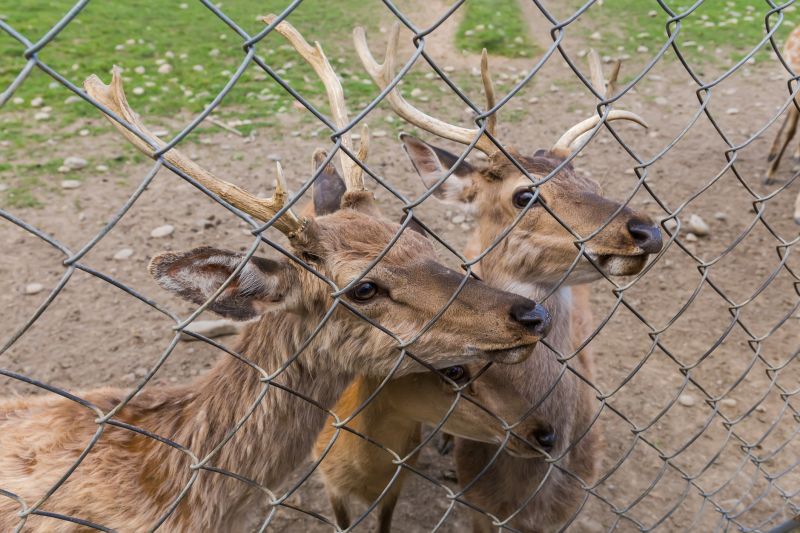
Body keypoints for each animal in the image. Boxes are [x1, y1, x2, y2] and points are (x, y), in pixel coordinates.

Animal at [351, 25, 663, 532]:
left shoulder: (572, 509)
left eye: (593, 185)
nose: (646, 230)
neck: (527, 498)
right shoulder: (478, 506)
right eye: (525, 195)